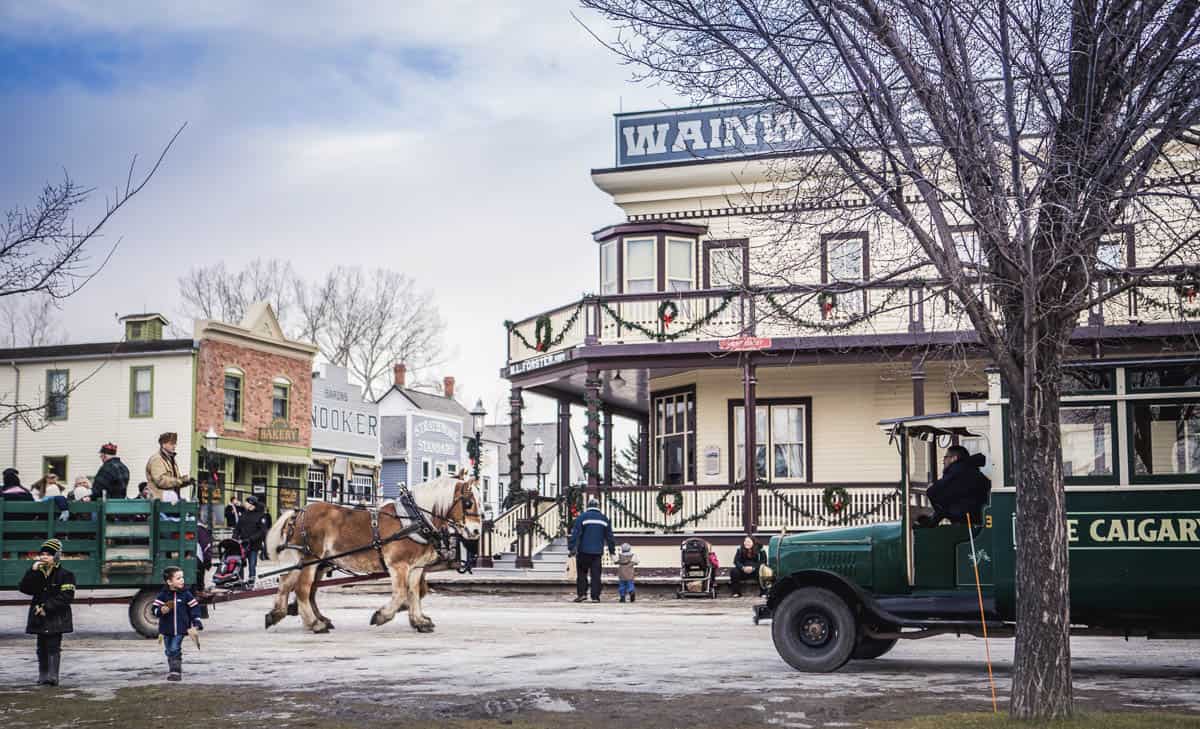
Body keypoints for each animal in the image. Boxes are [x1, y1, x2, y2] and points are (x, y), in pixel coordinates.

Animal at [265, 472, 480, 633]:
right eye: (468, 503)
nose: (477, 531)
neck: (414, 519)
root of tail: (298, 512)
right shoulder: (398, 566)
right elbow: (401, 593)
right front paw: (382, 616)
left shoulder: (416, 567)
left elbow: (414, 592)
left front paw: (419, 621)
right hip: (310, 559)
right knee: (302, 589)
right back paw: (314, 623)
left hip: (309, 561)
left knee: (288, 584)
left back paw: (279, 613)